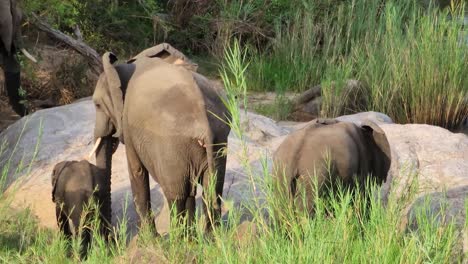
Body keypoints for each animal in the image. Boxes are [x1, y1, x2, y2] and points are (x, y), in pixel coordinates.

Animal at [89, 44, 230, 234]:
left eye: (97, 105)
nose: (109, 236)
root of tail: (203, 123)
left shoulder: (128, 125)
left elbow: (137, 171)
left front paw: (149, 239)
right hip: (216, 143)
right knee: (209, 189)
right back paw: (206, 238)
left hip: (172, 146)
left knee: (176, 195)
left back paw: (178, 239)